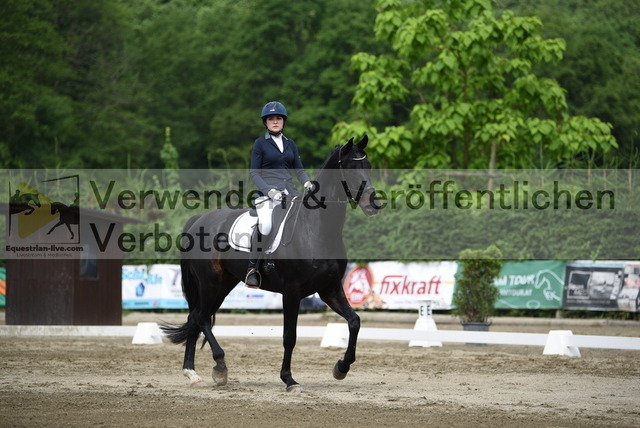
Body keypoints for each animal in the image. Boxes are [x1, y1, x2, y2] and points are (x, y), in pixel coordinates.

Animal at [161, 135, 379, 392]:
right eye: (351, 168)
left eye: (369, 166)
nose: (374, 204)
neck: (316, 228)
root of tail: (198, 220)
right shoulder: (292, 291)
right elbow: (289, 336)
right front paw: (289, 380)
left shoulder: (329, 289)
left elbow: (354, 321)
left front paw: (341, 368)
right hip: (209, 283)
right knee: (200, 318)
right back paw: (219, 367)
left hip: (223, 285)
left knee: (195, 318)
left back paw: (193, 373)